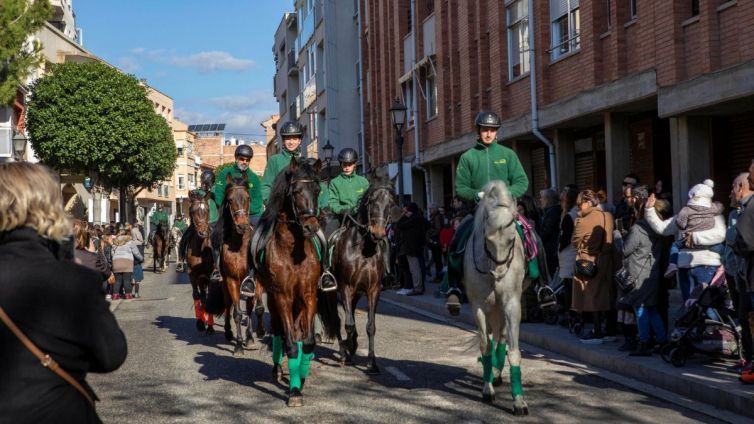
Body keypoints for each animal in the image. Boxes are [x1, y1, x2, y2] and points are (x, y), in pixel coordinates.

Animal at [256, 157, 338, 408]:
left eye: (317, 190)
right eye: (296, 191)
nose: (311, 226)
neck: (293, 250)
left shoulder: (309, 295)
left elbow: (307, 342)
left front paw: (300, 379)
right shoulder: (282, 296)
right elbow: (291, 344)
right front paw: (293, 391)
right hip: (274, 300)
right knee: (279, 332)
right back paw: (276, 369)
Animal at [332, 174, 396, 372]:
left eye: (391, 203)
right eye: (371, 202)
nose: (378, 233)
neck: (363, 249)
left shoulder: (373, 289)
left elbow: (370, 326)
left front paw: (371, 362)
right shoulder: (345, 287)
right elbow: (349, 324)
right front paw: (348, 350)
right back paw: (344, 351)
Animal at [464, 181, 528, 416]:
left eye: (511, 239)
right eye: (487, 238)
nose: (499, 276)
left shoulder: (511, 304)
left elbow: (514, 351)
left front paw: (519, 401)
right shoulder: (479, 306)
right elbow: (485, 347)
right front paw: (487, 389)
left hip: (501, 307)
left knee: (501, 339)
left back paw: (498, 374)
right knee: (495, 340)